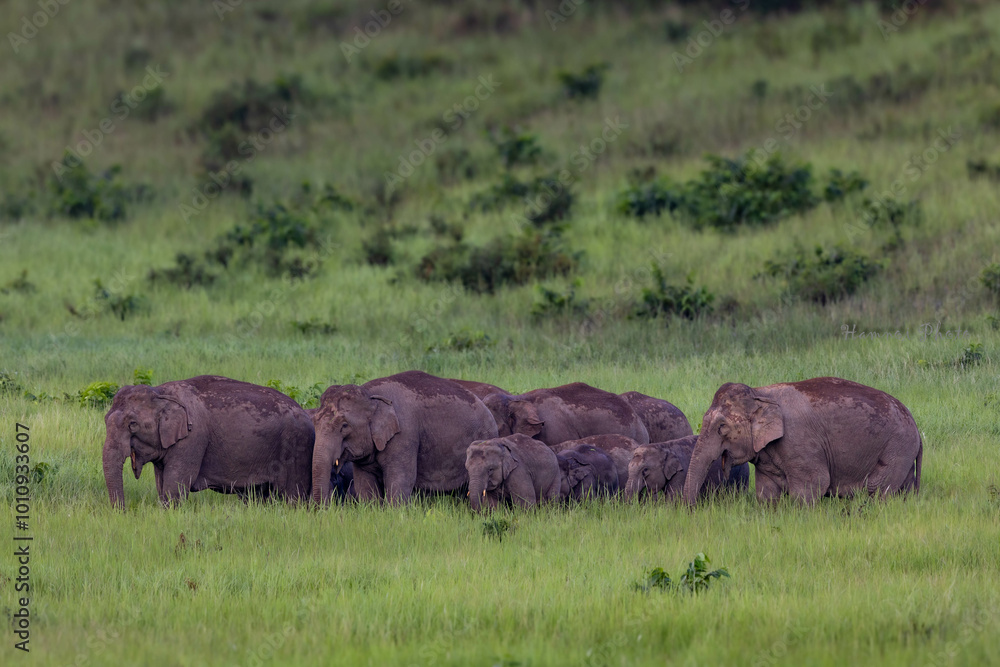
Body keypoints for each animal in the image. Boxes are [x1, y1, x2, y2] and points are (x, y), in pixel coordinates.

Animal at [102, 375, 314, 507]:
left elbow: (175, 486)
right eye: (105, 419)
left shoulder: (193, 438)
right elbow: (161, 484)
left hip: (297, 447)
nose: (123, 511)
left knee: (293, 496)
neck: (161, 391)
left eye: (132, 425)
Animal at [311, 370, 498, 504]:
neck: (372, 396)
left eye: (344, 426)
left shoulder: (405, 436)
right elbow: (364, 483)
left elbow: (400, 481)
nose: (324, 509)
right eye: (314, 421)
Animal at [684, 377, 923, 506]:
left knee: (878, 490)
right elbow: (766, 492)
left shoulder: (799, 442)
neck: (759, 392)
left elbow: (812, 485)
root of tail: (917, 430)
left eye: (721, 427)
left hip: (897, 447)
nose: (691, 510)